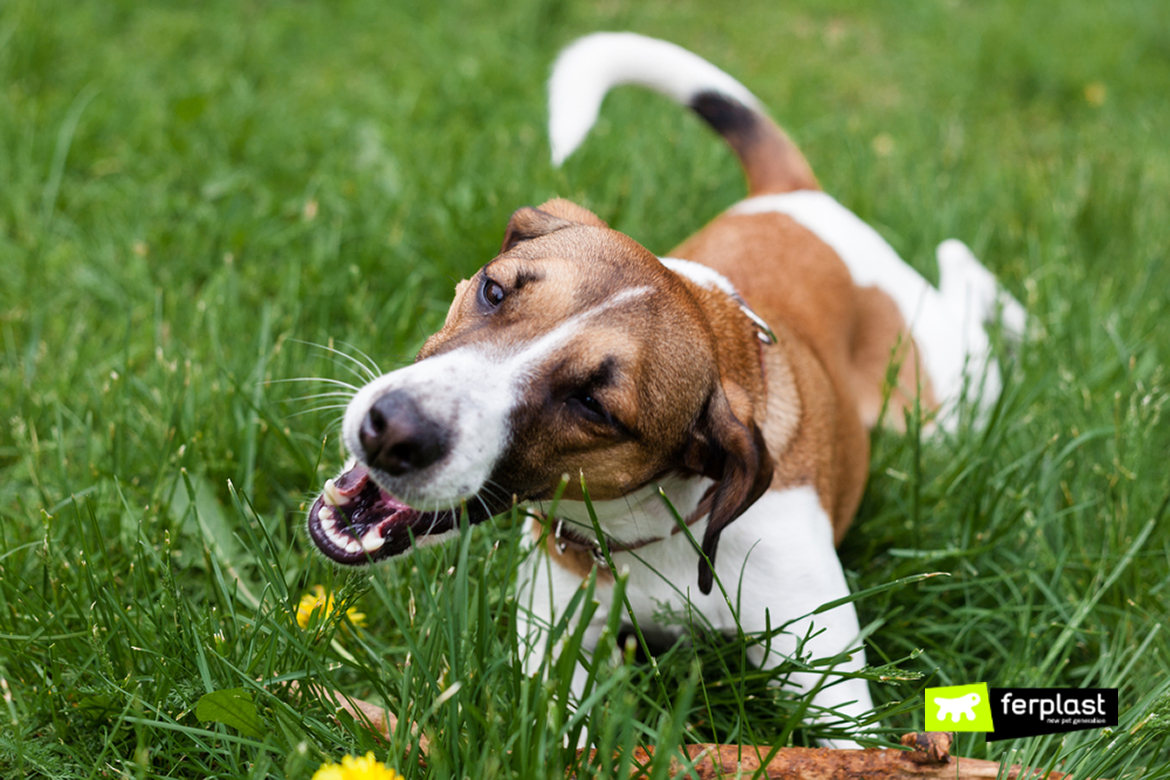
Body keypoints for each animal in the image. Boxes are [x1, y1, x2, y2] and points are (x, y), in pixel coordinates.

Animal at [308, 33, 1024, 743]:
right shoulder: (553, 649)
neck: (658, 529)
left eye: (592, 404)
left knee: (965, 290)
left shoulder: (834, 690)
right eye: (493, 290)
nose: (391, 429)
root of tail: (795, 197)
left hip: (945, 404)